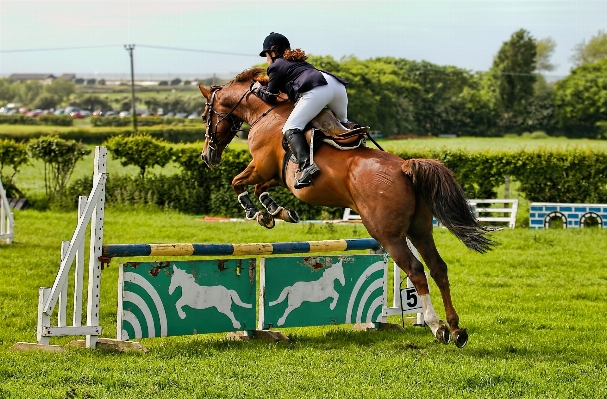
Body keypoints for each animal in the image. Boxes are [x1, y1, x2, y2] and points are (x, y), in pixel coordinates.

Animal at [197, 68, 496, 346]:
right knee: (438, 268)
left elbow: (238, 182)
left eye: (204, 116)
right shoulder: (275, 175)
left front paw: (254, 212)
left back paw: (437, 326)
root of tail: (404, 167)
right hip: (420, 229)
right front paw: (276, 213)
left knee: (416, 270)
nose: (207, 156)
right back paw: (456, 329)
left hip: (387, 234)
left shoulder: (261, 165)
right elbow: (261, 189)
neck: (265, 112)